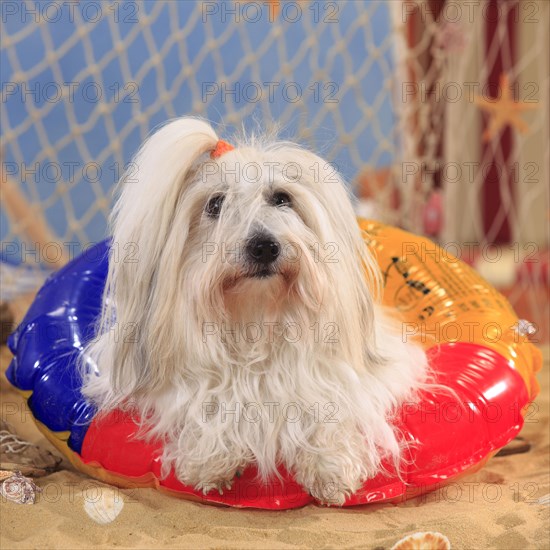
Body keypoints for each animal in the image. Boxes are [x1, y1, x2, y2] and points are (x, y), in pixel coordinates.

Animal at [82, 118, 430, 506]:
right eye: (215, 204)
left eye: (281, 198)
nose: (263, 246)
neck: (257, 320)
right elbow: (208, 403)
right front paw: (212, 460)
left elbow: (328, 405)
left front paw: (330, 467)